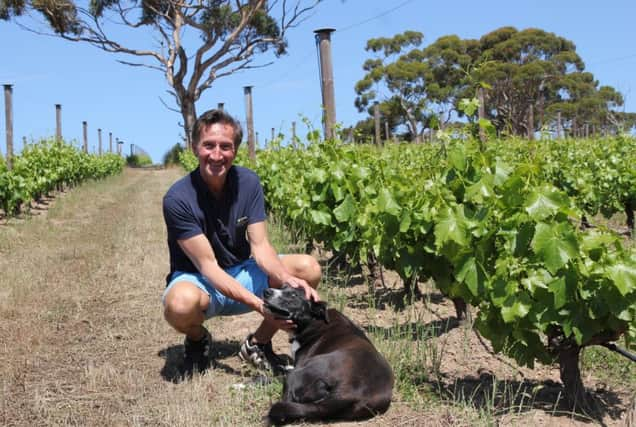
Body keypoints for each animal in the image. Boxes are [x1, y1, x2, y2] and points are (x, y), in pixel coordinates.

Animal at [262, 284, 392, 424]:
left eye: (293, 295)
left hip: (296, 375)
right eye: (283, 286)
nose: (267, 291)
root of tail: (347, 393)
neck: (313, 320)